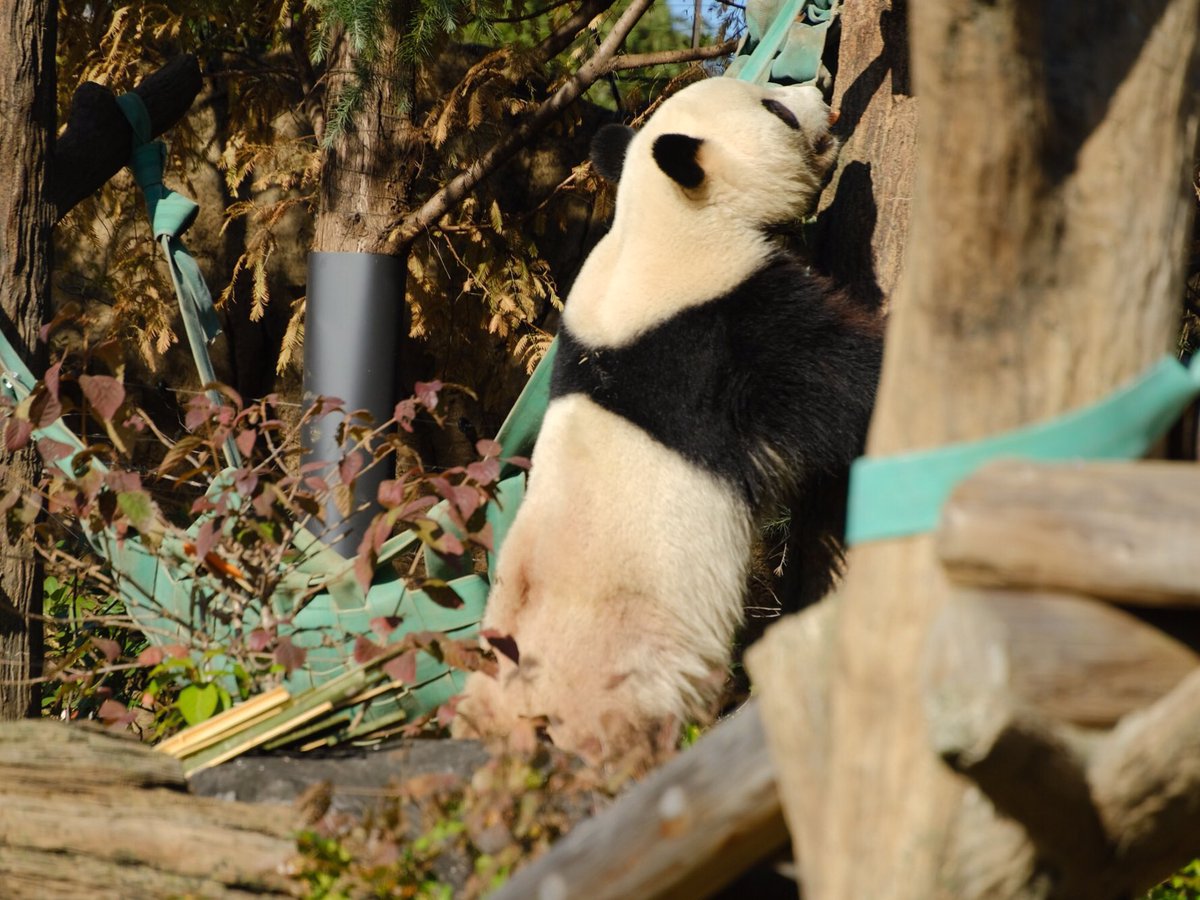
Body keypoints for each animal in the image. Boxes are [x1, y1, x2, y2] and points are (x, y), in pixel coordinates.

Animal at [452, 76, 883, 762]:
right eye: (775, 109)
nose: (818, 89)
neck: (662, 220)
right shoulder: (714, 329)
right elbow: (835, 380)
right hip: (626, 676)